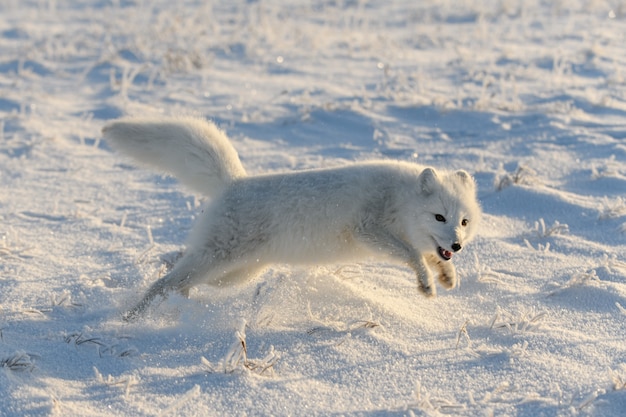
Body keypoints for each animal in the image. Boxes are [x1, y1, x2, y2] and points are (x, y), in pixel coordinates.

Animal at [103, 117, 478, 318]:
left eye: (463, 221)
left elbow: (429, 255)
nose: (458, 245)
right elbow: (413, 254)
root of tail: (234, 182)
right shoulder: (368, 230)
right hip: (220, 259)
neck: (400, 199)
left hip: (236, 273)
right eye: (439, 216)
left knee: (179, 274)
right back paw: (132, 315)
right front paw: (426, 283)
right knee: (166, 280)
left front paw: (446, 276)